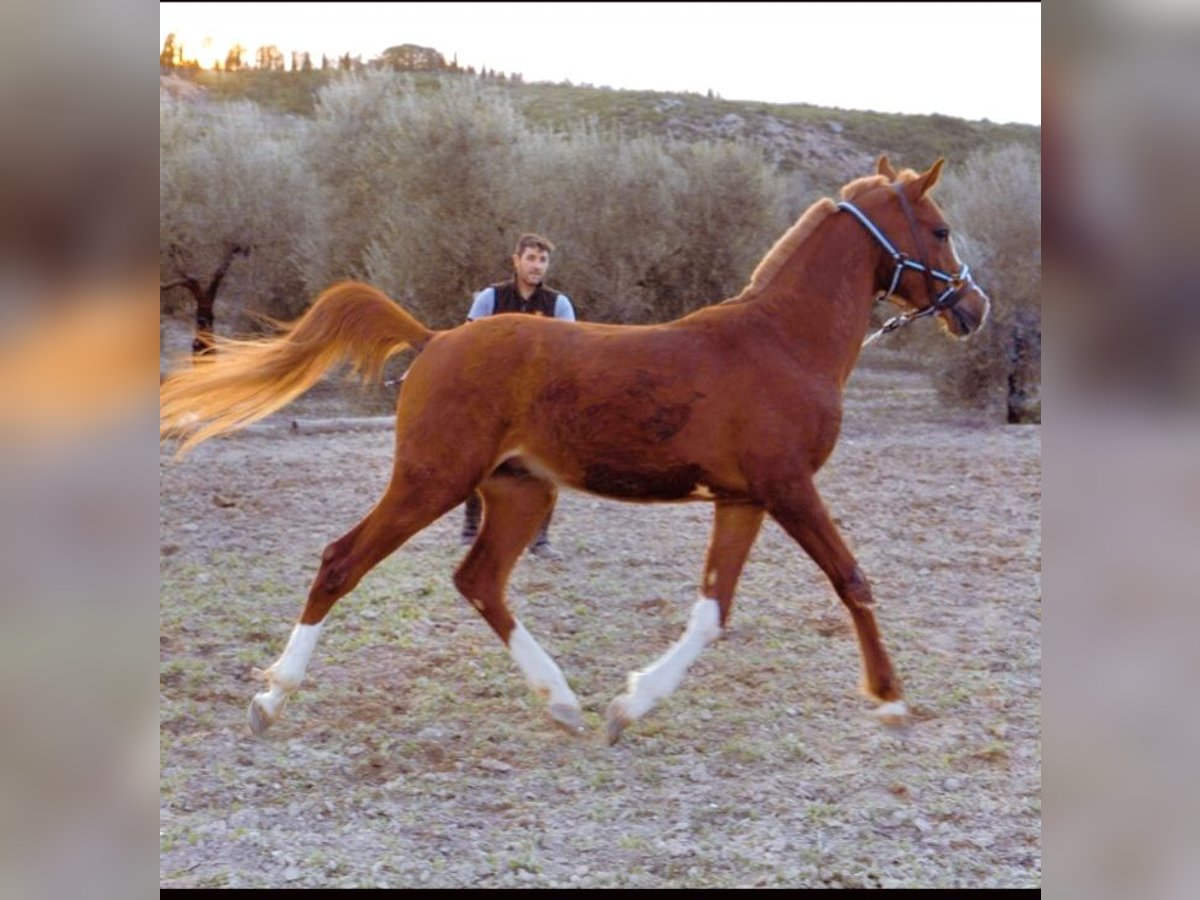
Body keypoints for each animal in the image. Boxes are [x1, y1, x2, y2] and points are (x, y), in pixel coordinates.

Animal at [160, 156, 990, 744]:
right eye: (941, 229)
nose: (976, 309)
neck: (782, 342)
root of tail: (435, 340)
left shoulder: (743, 498)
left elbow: (712, 611)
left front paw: (629, 706)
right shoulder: (788, 486)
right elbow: (852, 578)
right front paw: (891, 700)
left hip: (520, 491)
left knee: (479, 580)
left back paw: (561, 703)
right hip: (432, 481)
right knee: (342, 561)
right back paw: (271, 698)